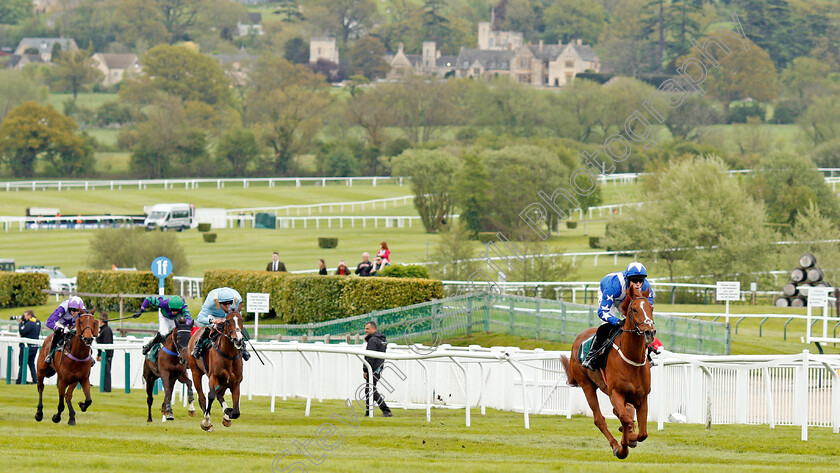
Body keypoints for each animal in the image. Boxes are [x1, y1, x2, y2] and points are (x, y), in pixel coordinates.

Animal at [560, 284, 660, 458]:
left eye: (651, 308)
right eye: (634, 309)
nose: (649, 332)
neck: (631, 359)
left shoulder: (642, 397)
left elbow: (642, 433)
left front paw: (631, 436)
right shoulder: (616, 393)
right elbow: (625, 419)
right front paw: (623, 446)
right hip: (587, 385)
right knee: (599, 419)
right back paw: (615, 445)